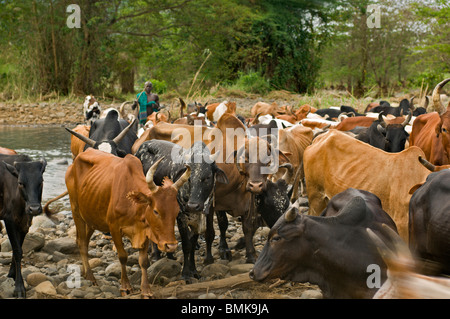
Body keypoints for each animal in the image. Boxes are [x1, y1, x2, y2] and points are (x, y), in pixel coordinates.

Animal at [0, 155, 46, 298]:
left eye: (41, 181)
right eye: (20, 182)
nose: (34, 209)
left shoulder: (25, 223)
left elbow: (18, 249)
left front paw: (12, 275)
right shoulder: (9, 219)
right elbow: (17, 251)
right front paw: (19, 287)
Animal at [65, 149, 190, 298]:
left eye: (176, 211)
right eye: (156, 211)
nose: (171, 246)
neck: (134, 206)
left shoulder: (145, 231)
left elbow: (143, 261)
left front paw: (146, 290)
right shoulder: (114, 228)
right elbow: (123, 256)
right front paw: (125, 287)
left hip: (91, 218)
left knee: (83, 240)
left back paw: (85, 273)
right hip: (76, 211)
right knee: (82, 243)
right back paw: (90, 277)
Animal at [133, 140, 225, 282]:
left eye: (207, 177)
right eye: (188, 178)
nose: (192, 205)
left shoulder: (201, 215)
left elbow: (193, 243)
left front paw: (193, 270)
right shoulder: (181, 217)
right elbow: (186, 245)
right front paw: (186, 273)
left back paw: (170, 255)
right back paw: (155, 255)